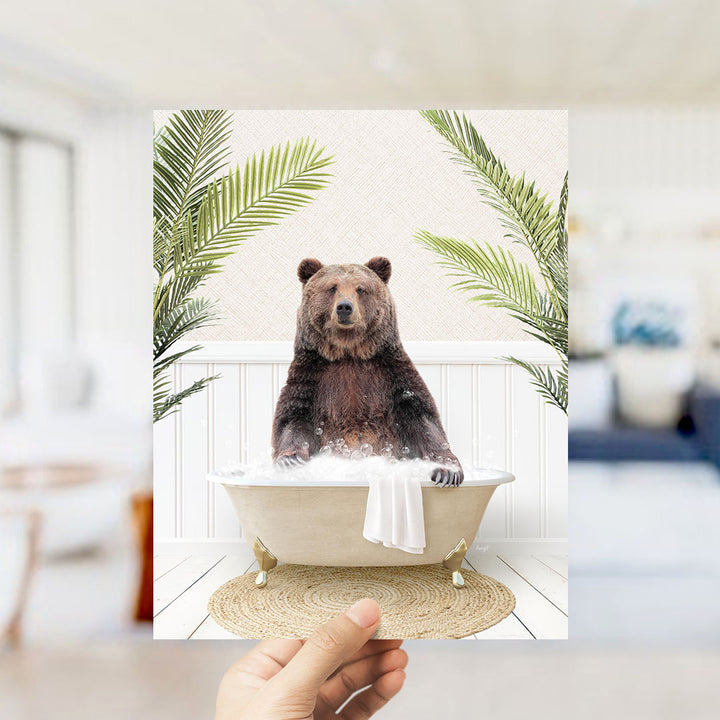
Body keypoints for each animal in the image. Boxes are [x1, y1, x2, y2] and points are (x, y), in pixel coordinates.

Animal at [271, 256, 463, 486]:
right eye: (332, 287)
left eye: (360, 289)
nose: (344, 307)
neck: (349, 353)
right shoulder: (311, 376)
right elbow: (293, 418)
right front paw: (290, 460)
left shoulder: (391, 375)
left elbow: (422, 418)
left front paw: (447, 471)